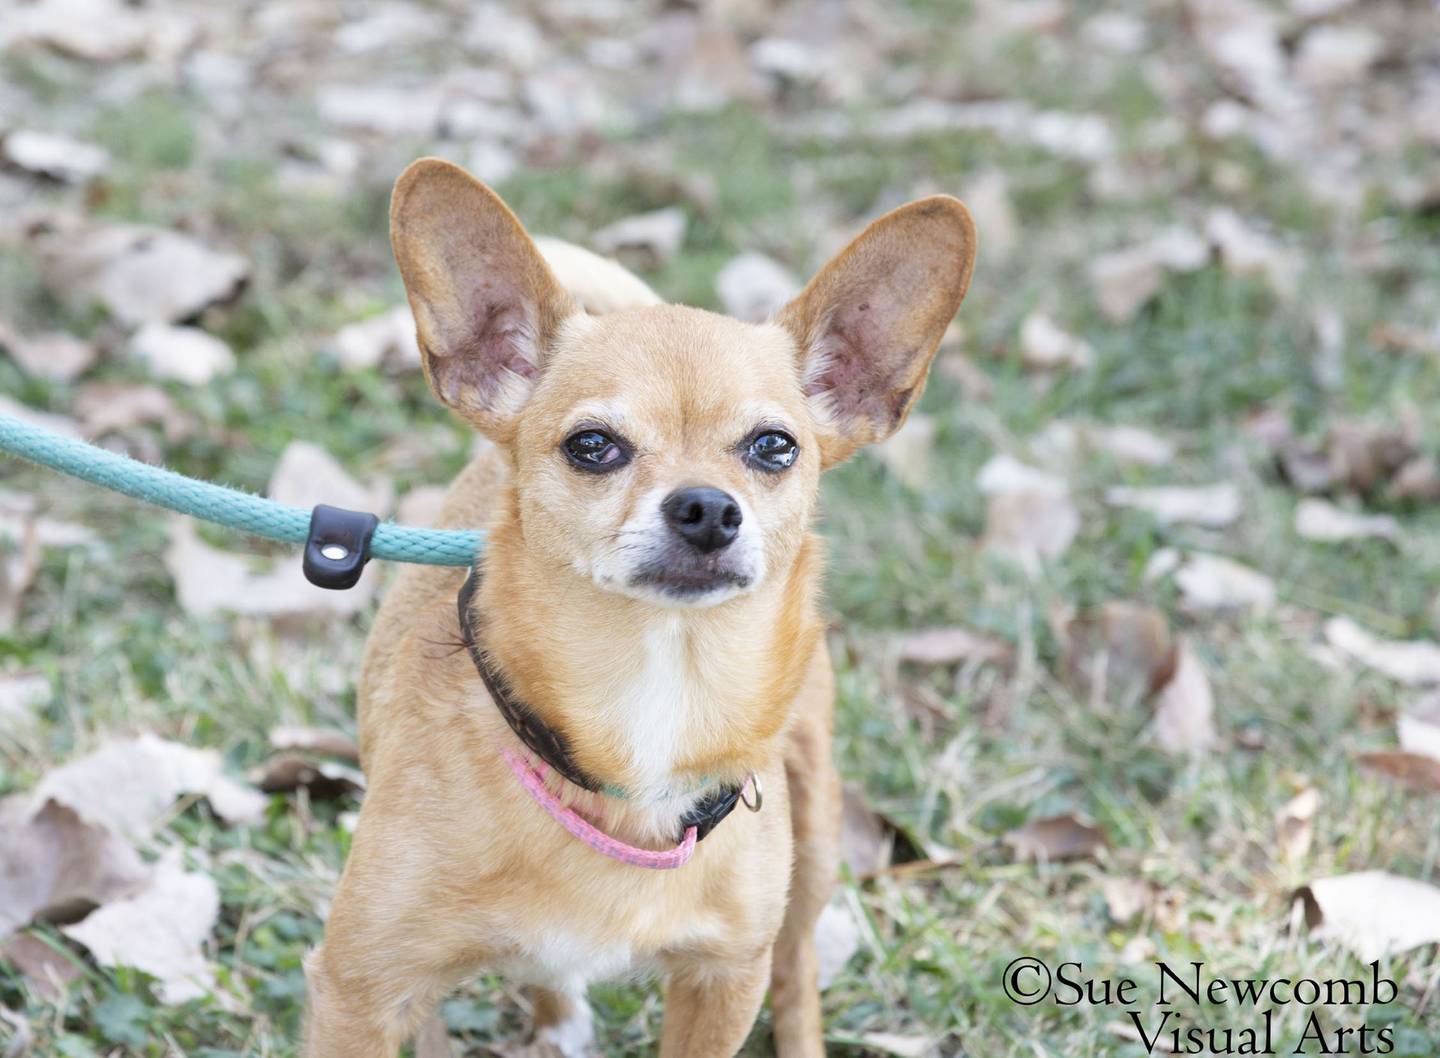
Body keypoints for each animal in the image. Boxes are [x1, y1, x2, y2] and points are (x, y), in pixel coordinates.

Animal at [303, 159, 979, 1058]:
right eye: (593, 446)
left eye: (774, 446)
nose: (707, 508)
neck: (652, 695)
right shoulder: (362, 992)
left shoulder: (722, 984)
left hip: (817, 835)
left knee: (799, 962)